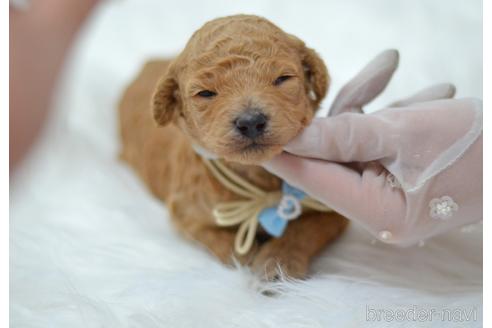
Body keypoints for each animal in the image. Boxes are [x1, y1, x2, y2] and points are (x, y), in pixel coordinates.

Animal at [118, 14, 346, 278]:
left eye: (283, 79)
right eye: (205, 93)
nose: (251, 121)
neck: (256, 179)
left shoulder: (329, 209)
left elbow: (303, 231)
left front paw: (278, 263)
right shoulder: (184, 211)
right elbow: (212, 237)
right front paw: (246, 257)